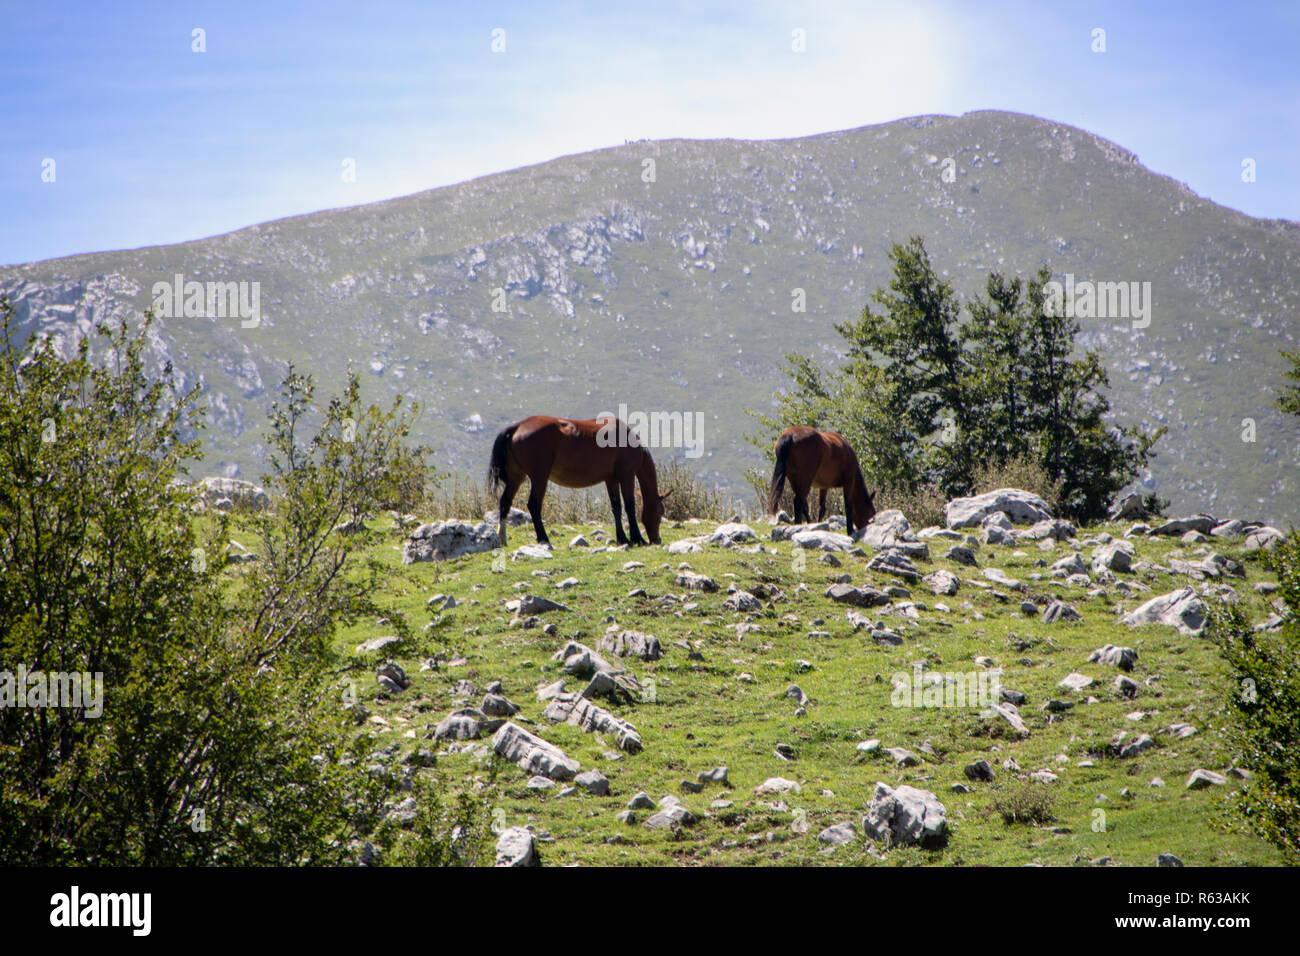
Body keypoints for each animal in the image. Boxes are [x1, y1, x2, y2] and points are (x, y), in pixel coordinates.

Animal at [488, 416, 670, 548]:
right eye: (660, 512)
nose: (657, 539)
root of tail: (518, 426)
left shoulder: (611, 480)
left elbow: (616, 507)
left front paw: (622, 538)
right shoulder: (627, 476)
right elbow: (629, 506)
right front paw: (638, 538)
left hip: (516, 477)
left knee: (505, 502)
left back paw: (502, 538)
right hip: (539, 478)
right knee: (533, 505)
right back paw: (543, 538)